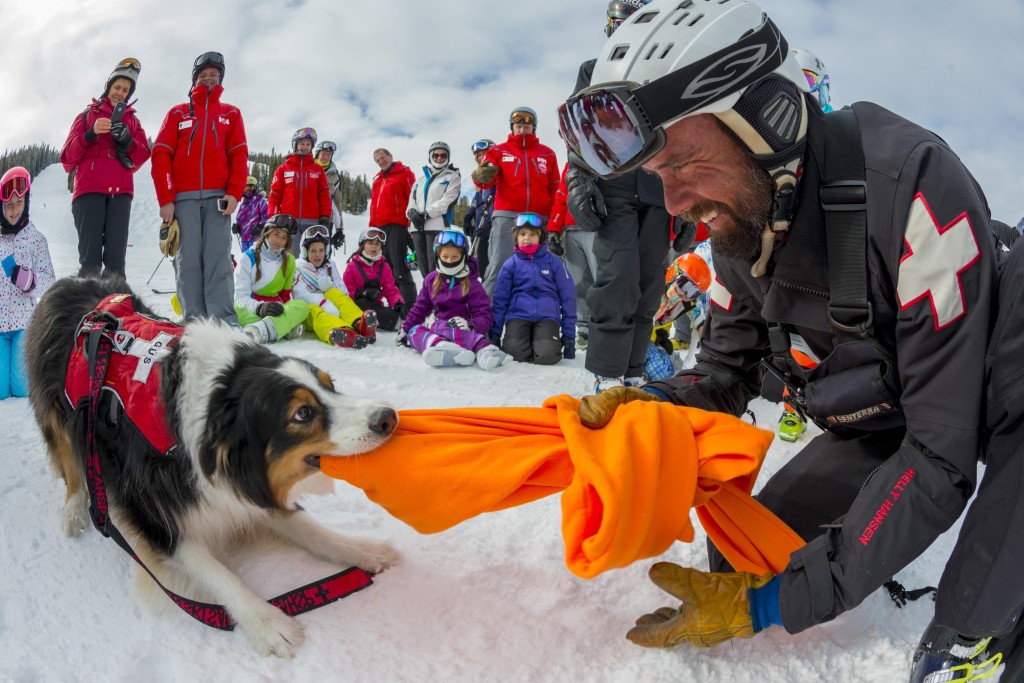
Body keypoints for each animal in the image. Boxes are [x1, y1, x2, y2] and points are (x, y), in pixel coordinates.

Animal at [24, 278, 399, 655]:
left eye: (330, 385)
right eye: (303, 413)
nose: (388, 417)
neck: (212, 412)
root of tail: (72, 281)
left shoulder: (244, 486)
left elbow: (312, 529)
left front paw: (364, 550)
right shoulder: (154, 515)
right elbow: (217, 573)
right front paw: (267, 623)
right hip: (59, 417)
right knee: (71, 466)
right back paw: (74, 512)